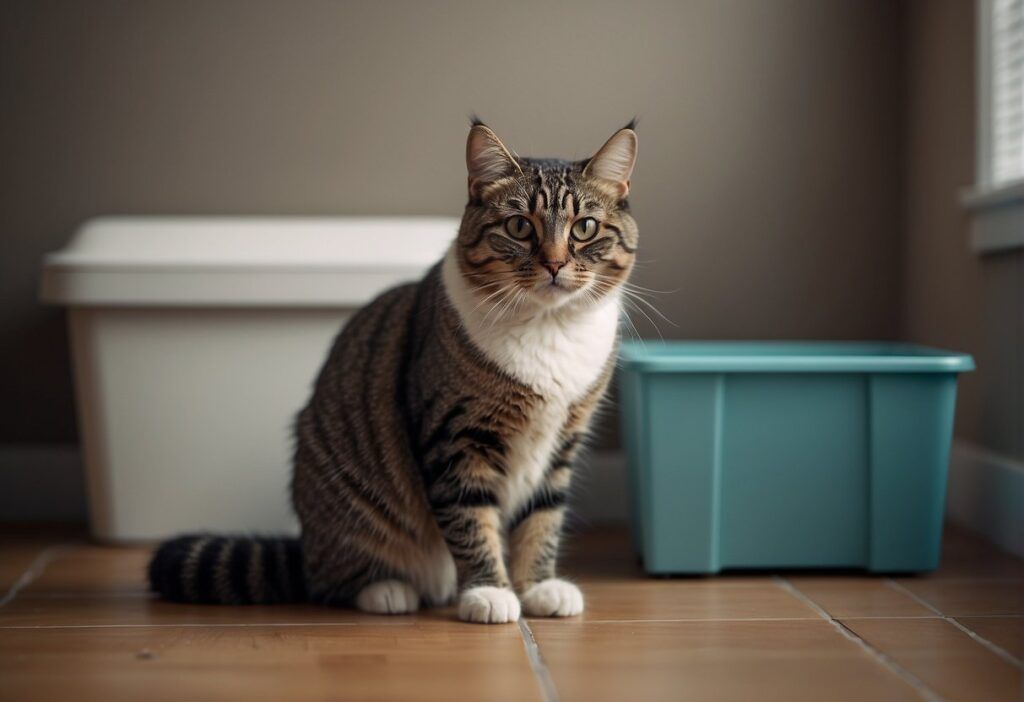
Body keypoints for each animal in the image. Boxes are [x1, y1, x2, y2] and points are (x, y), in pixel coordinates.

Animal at [148, 120, 634, 626]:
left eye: (585, 227)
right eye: (519, 225)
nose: (555, 263)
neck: (548, 327)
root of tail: (306, 547)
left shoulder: (561, 443)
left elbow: (543, 520)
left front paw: (539, 587)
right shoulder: (456, 438)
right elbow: (470, 520)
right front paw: (490, 593)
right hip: (348, 511)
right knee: (333, 581)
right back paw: (387, 591)